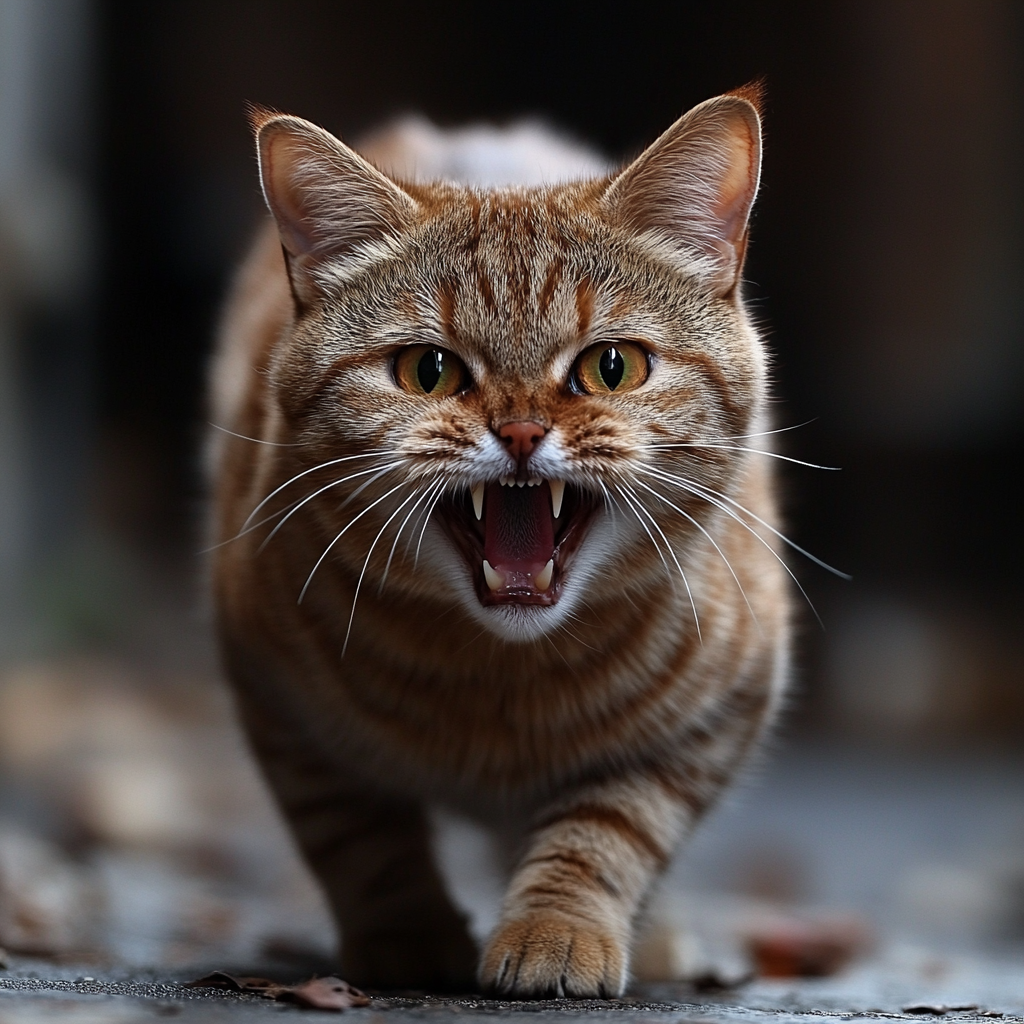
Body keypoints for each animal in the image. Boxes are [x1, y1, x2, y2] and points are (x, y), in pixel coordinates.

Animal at [209, 83, 790, 995]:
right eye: (429, 371)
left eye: (612, 366)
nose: (519, 432)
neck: (502, 679)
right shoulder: (276, 703)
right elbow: (361, 839)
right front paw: (408, 935)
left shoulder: (715, 719)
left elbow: (608, 830)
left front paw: (558, 927)